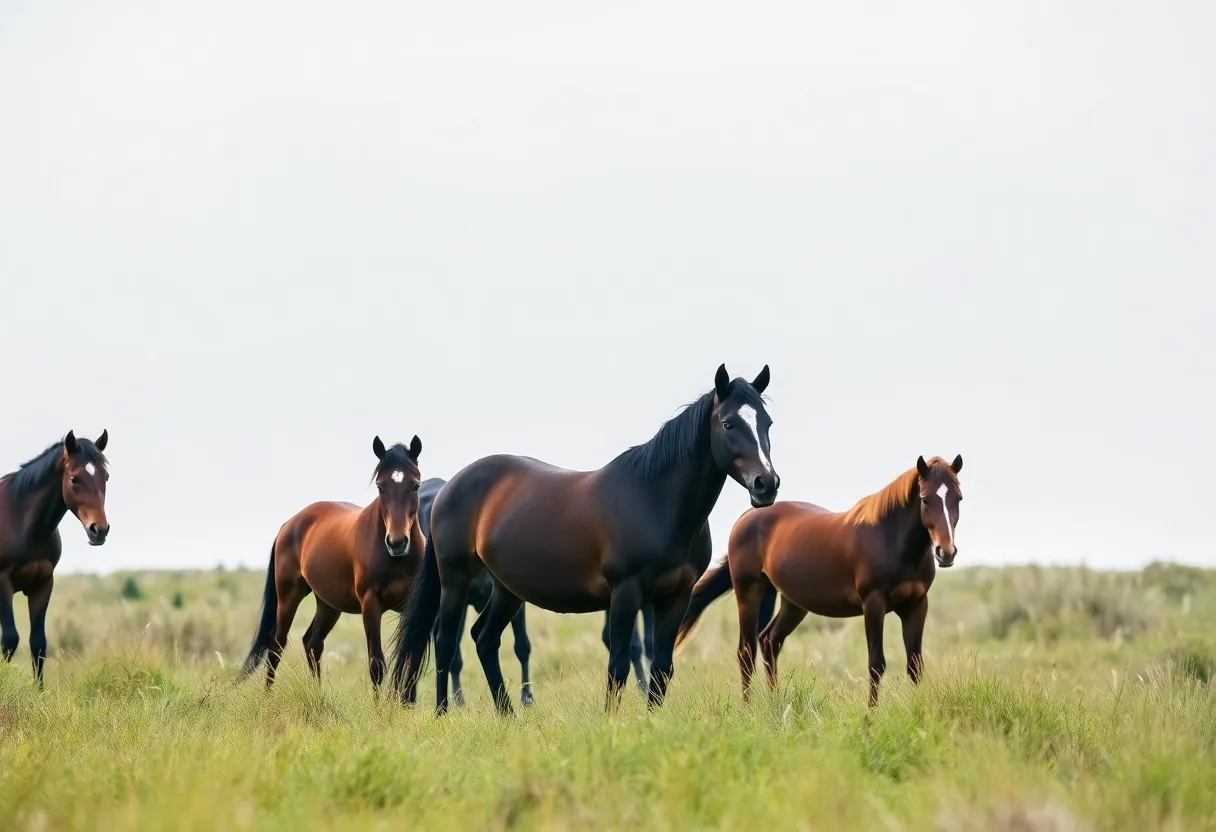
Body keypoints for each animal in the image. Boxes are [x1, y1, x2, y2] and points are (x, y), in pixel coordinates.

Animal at [0, 431, 110, 687]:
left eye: (106, 477)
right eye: (74, 479)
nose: (99, 530)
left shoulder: (43, 583)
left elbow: (38, 643)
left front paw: (38, 692)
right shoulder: (2, 581)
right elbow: (9, 640)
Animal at [241, 436, 425, 692]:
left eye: (416, 485)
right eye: (380, 486)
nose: (397, 543)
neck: (396, 560)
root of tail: (290, 523)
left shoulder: (412, 607)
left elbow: (409, 661)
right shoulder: (371, 605)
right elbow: (377, 666)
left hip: (328, 604)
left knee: (312, 642)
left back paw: (317, 696)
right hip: (289, 596)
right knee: (276, 645)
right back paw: (267, 696)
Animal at [391, 363, 780, 716]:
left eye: (767, 423)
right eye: (728, 424)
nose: (767, 484)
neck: (654, 499)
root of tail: (450, 487)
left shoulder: (676, 597)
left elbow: (661, 668)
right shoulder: (626, 593)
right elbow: (618, 664)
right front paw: (611, 722)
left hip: (507, 589)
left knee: (485, 640)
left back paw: (507, 715)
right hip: (454, 577)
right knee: (445, 642)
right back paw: (443, 713)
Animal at [675, 454, 963, 707]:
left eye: (958, 497)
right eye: (925, 499)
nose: (946, 553)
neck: (890, 539)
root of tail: (746, 518)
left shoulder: (916, 605)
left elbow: (915, 665)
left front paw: (919, 707)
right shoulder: (873, 604)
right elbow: (876, 663)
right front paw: (872, 712)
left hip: (792, 602)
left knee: (769, 641)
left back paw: (774, 701)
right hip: (748, 592)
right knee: (746, 653)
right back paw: (747, 709)